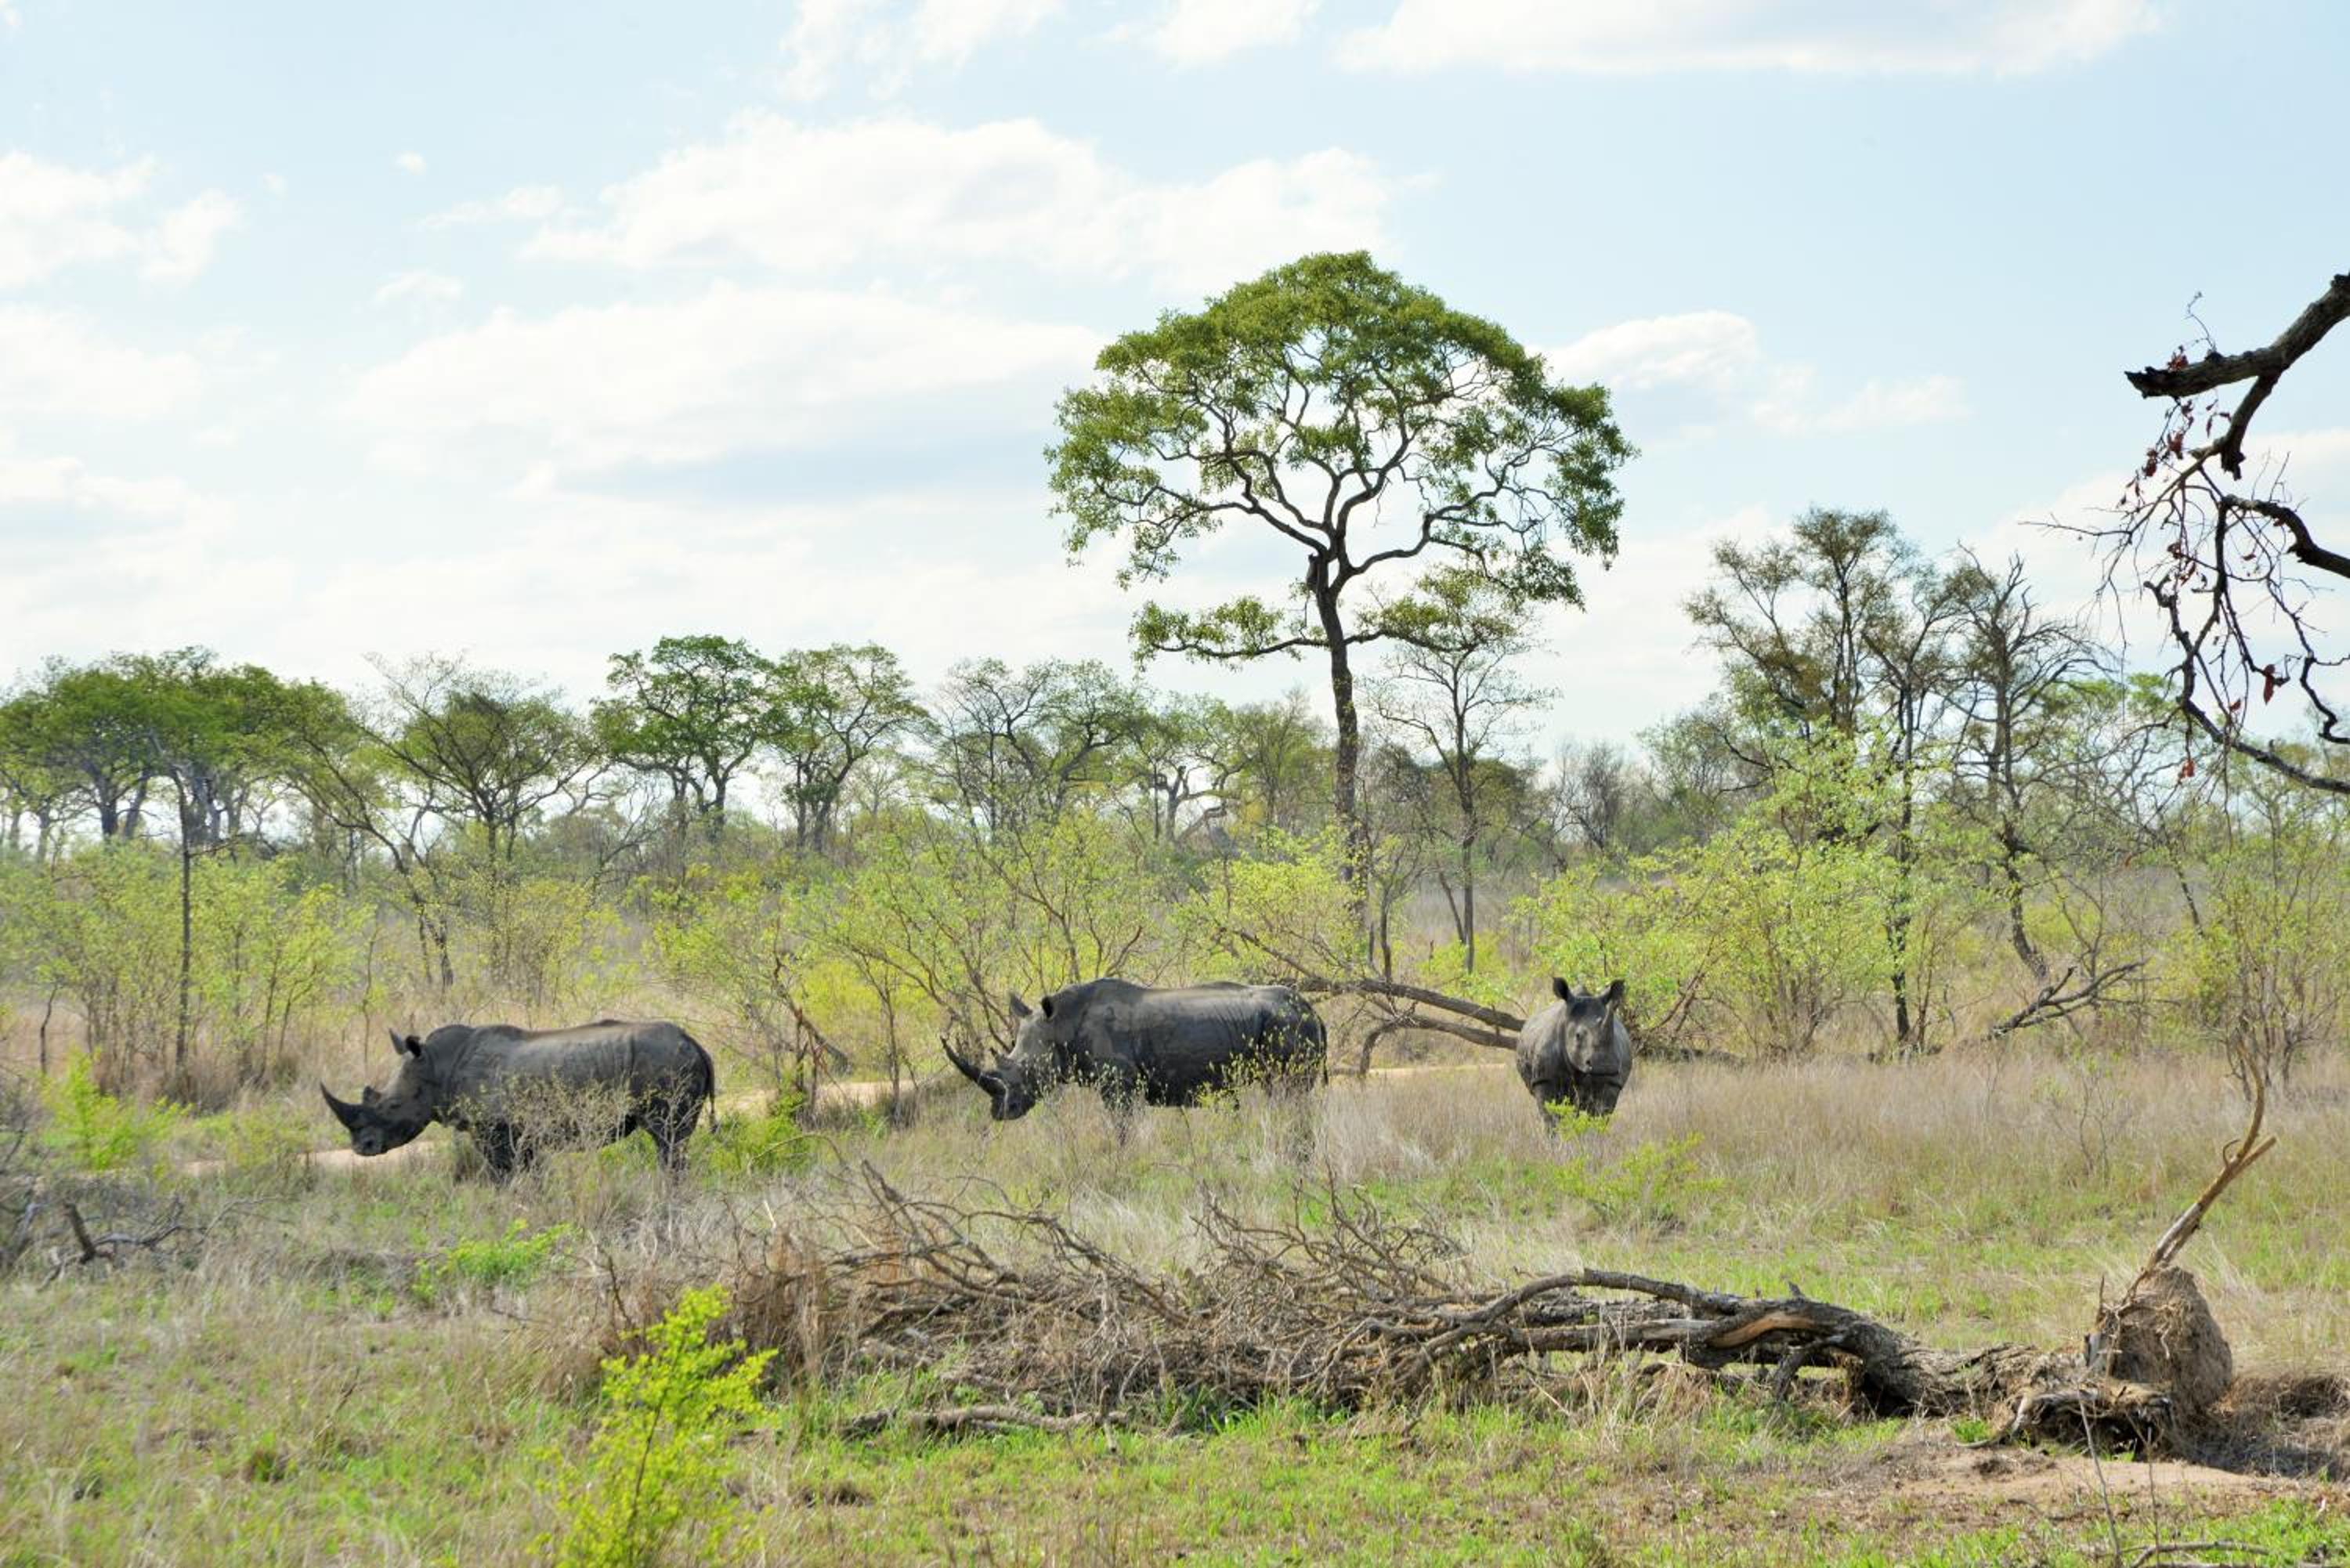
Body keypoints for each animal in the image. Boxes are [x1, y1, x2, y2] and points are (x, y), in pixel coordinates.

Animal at [321, 1019, 715, 1177]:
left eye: (392, 1106)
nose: (361, 1148)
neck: (438, 1067)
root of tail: (695, 1043)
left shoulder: (494, 1130)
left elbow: (503, 1176)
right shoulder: (519, 1132)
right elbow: (527, 1176)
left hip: (665, 1063)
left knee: (668, 1139)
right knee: (675, 1142)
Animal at [941, 978, 1326, 1122]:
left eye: (1027, 1070)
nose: (1000, 1112)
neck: (1060, 1025)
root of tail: (1315, 1013)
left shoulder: (1118, 1084)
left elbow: (1122, 1128)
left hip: (1289, 1025)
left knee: (1290, 1092)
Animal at [1516, 978, 1633, 1122]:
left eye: (1614, 1037)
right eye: (1578, 1036)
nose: (1605, 1065)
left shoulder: (1611, 1081)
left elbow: (1600, 1116)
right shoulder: (1543, 1079)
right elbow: (1551, 1116)